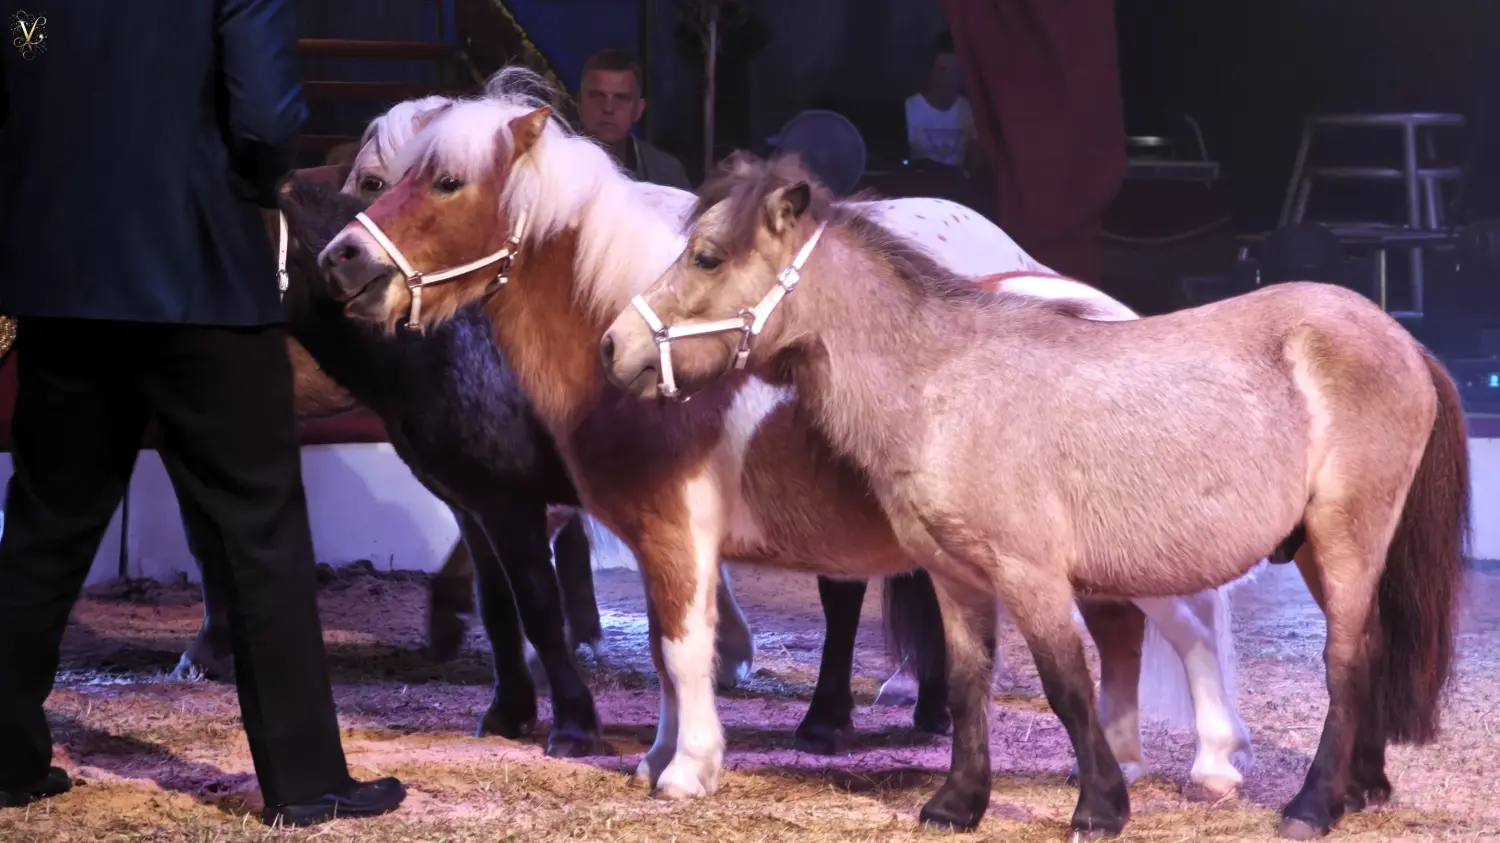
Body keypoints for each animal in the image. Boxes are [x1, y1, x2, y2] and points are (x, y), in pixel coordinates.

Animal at [597, 152, 1464, 834]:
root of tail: (1401, 338)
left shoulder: (1032, 574)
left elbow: (1067, 684)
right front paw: (958, 802)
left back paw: (1313, 804)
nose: (615, 346)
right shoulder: (954, 577)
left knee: (1344, 658)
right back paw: (1362, 786)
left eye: (708, 257)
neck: (941, 387)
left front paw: (1101, 807)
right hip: (1320, 546)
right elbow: (968, 683)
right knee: (1369, 647)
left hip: (1347, 536)